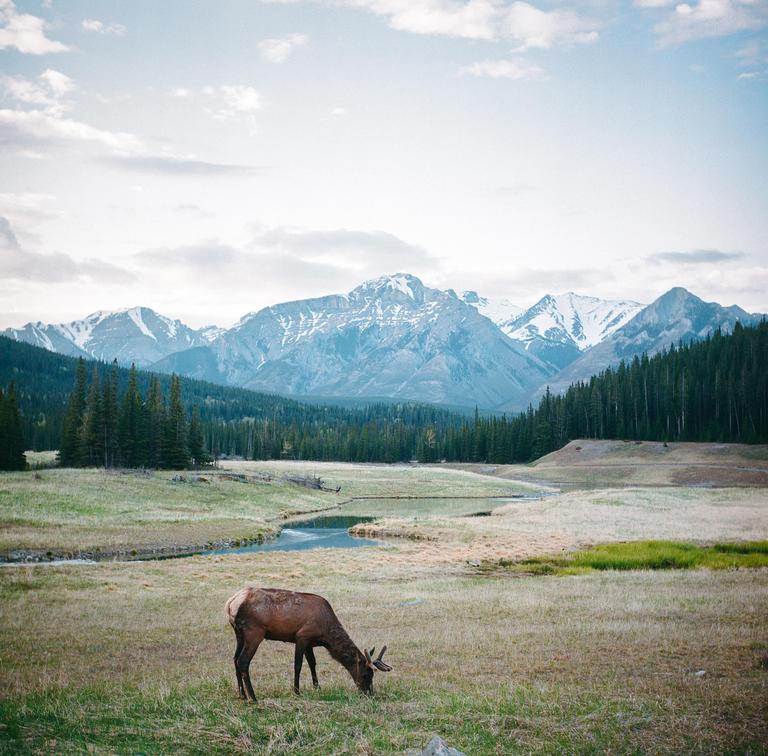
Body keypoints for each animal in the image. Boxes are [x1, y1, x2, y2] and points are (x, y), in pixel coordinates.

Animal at [225, 586, 392, 701]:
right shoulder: (302, 636)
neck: (326, 633)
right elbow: (298, 665)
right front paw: (296, 691)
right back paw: (253, 697)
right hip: (254, 632)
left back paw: (242, 695)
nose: (370, 693)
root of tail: (230, 604)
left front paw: (317, 687)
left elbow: (312, 663)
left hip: (239, 634)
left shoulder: (310, 643)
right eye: (366, 674)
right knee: (243, 661)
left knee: (234, 659)